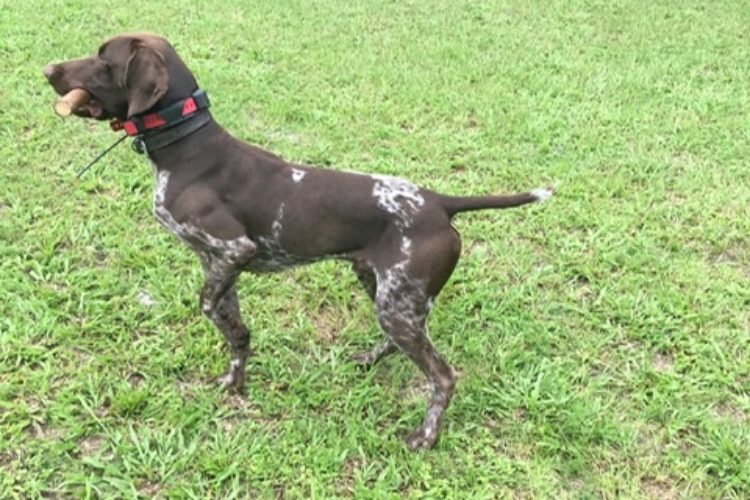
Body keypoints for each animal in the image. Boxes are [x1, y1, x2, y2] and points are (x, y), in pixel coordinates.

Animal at [45, 34, 552, 450]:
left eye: (102, 59)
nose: (48, 70)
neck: (188, 147)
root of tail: (439, 203)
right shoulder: (219, 263)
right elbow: (235, 331)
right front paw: (235, 382)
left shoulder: (233, 251)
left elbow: (210, 308)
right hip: (387, 291)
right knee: (402, 342)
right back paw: (370, 360)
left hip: (398, 302)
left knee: (442, 376)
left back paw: (425, 437)